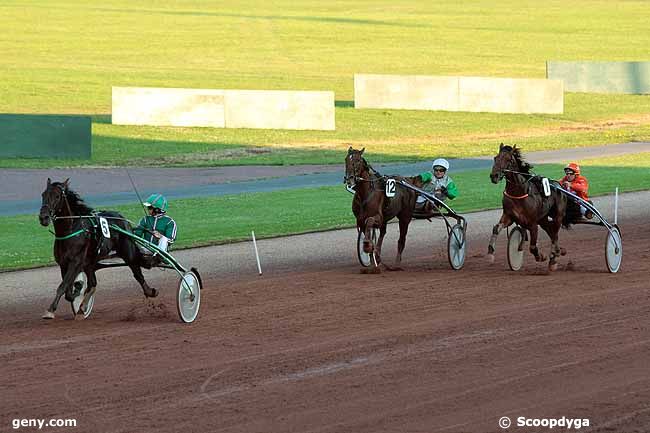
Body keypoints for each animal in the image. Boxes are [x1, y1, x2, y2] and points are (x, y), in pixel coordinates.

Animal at [39, 177, 158, 318]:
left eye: (57, 196)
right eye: (43, 195)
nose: (43, 217)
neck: (71, 230)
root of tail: (123, 219)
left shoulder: (76, 262)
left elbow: (63, 286)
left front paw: (50, 310)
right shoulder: (64, 263)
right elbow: (67, 290)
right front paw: (78, 288)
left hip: (128, 253)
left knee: (137, 274)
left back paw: (150, 291)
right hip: (90, 263)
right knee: (92, 283)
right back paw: (82, 307)